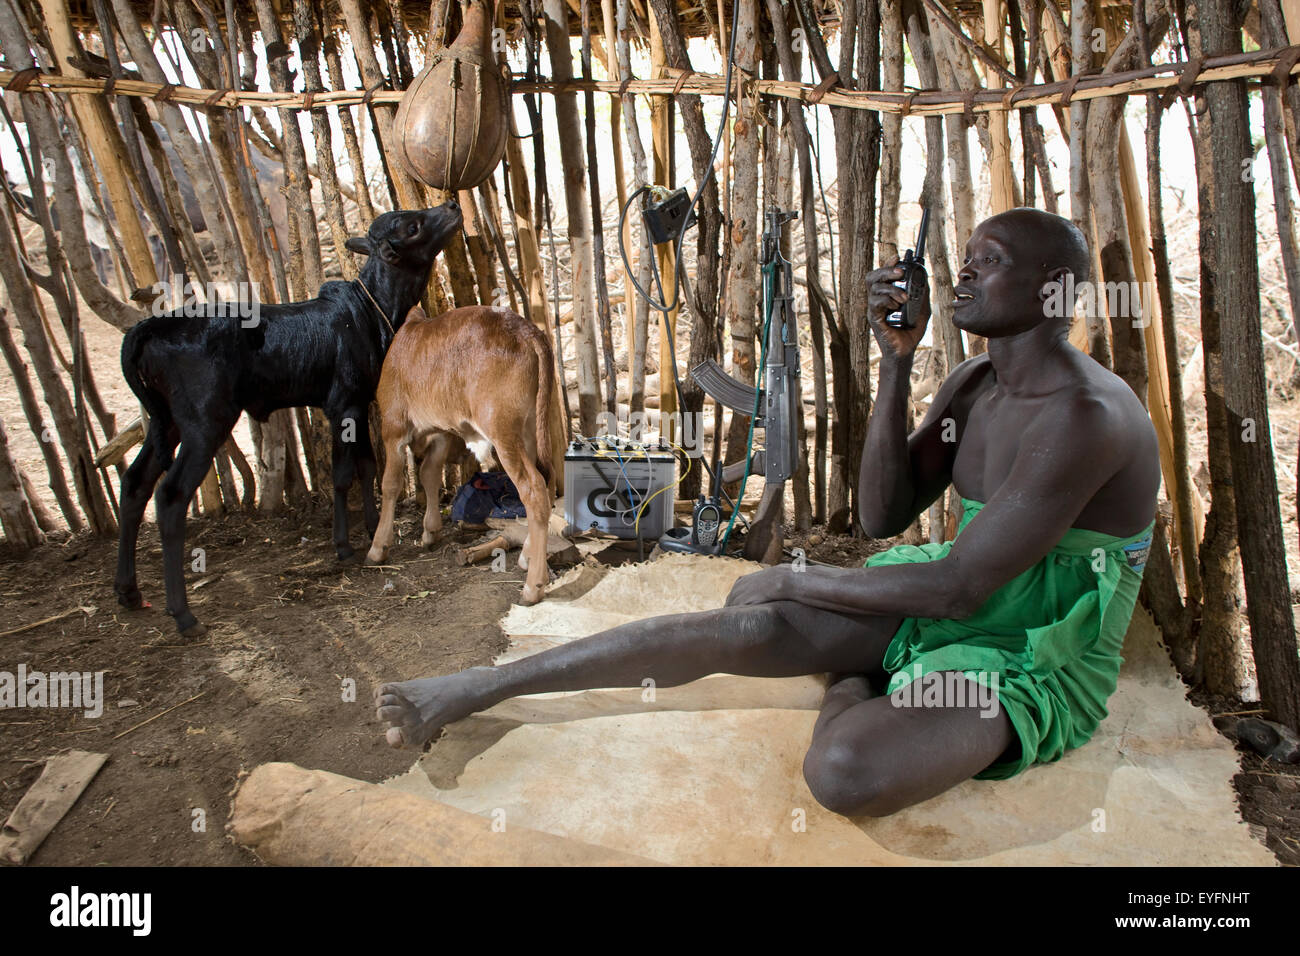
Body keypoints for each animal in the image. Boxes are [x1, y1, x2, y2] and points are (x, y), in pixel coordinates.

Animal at [114, 204, 465, 634]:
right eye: (413, 226)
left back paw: (129, 592)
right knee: (170, 494)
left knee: (136, 482)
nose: (451, 206)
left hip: (166, 422)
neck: (369, 312)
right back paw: (182, 614)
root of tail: (150, 326)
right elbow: (343, 474)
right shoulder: (341, 405)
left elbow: (367, 466)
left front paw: (371, 529)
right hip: (205, 422)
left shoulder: (358, 402)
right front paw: (344, 546)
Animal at [364, 306, 556, 606]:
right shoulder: (441, 432)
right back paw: (527, 555)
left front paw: (378, 547)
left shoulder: (393, 427)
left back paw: (532, 586)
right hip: (530, 428)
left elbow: (390, 484)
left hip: (503, 430)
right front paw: (431, 531)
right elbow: (429, 474)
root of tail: (527, 331)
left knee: (533, 488)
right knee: (548, 478)